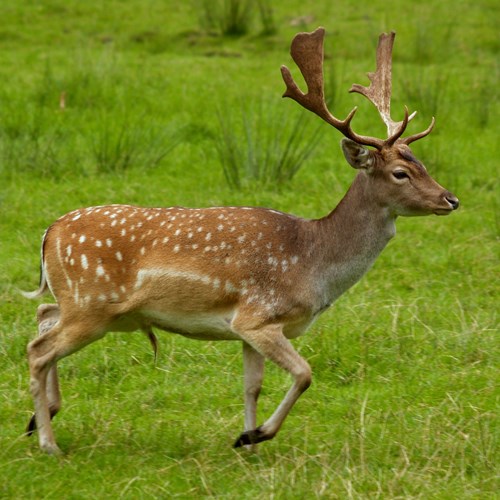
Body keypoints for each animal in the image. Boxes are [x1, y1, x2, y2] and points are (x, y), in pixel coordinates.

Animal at [25, 28, 458, 458]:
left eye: (422, 163)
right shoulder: (258, 316)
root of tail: (49, 232)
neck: (313, 264)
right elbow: (304, 374)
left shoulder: (248, 329)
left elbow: (253, 386)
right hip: (91, 305)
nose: (450, 199)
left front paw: (247, 443)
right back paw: (48, 442)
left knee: (44, 315)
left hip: (89, 306)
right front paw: (256, 435)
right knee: (38, 349)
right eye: (400, 172)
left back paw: (38, 418)